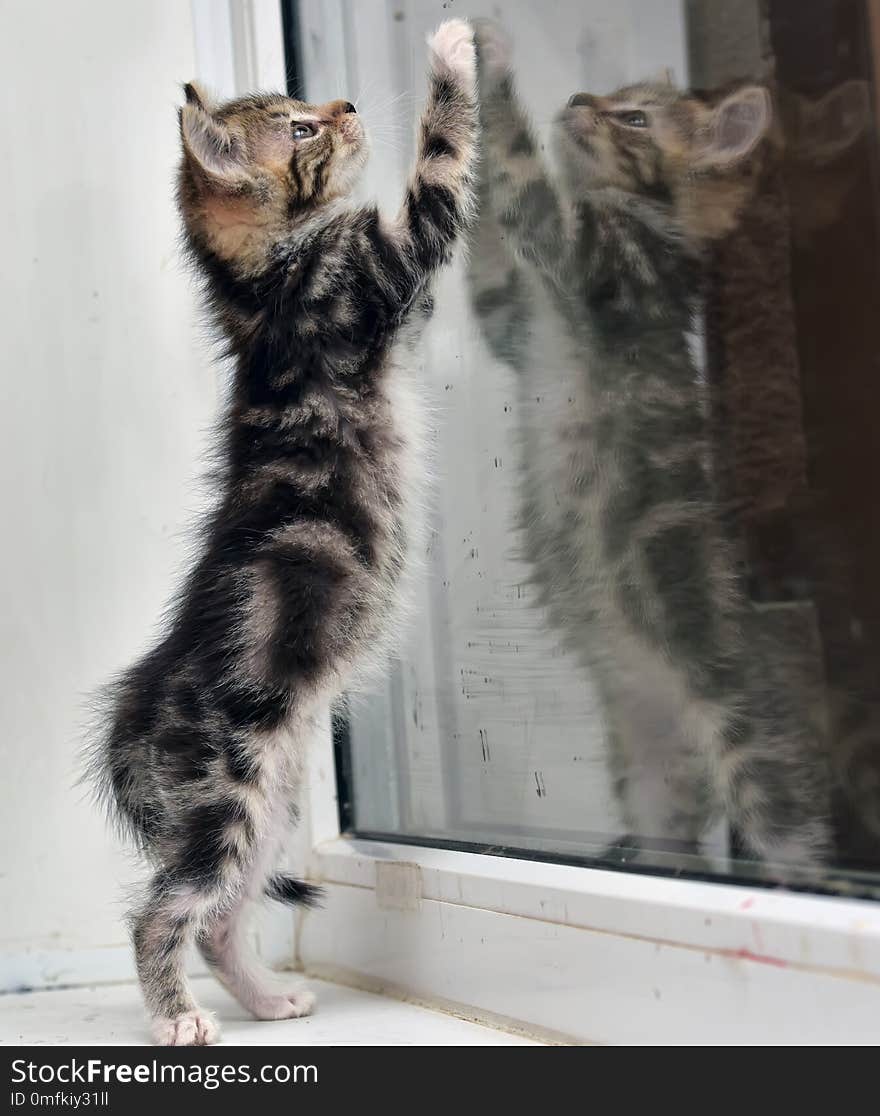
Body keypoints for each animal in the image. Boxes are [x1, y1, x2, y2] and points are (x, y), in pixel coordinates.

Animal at [86, 19, 477, 1044]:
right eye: (301, 130)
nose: (345, 105)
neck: (262, 289)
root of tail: (135, 716)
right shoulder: (385, 259)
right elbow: (441, 162)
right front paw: (451, 51)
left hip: (276, 795)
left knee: (224, 921)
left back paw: (267, 996)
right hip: (228, 791)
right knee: (164, 910)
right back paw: (178, 1018)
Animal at [466, 21, 829, 866]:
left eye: (632, 118)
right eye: (604, 97)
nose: (575, 97)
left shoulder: (585, 257)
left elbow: (519, 171)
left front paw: (487, 62)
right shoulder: (513, 317)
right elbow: (491, 255)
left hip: (750, 745)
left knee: (796, 838)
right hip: (653, 772)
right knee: (676, 841)